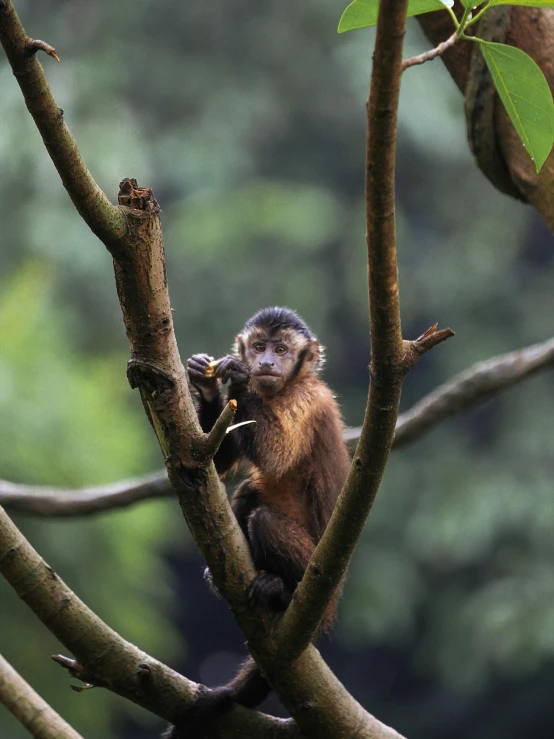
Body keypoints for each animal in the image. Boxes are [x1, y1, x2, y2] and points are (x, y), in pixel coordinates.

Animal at [162, 308, 348, 739]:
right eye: (260, 346)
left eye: (281, 350)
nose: (265, 362)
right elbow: (207, 460)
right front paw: (206, 385)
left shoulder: (306, 399)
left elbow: (276, 454)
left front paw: (239, 378)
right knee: (249, 493)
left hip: (320, 587)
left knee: (262, 517)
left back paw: (281, 590)